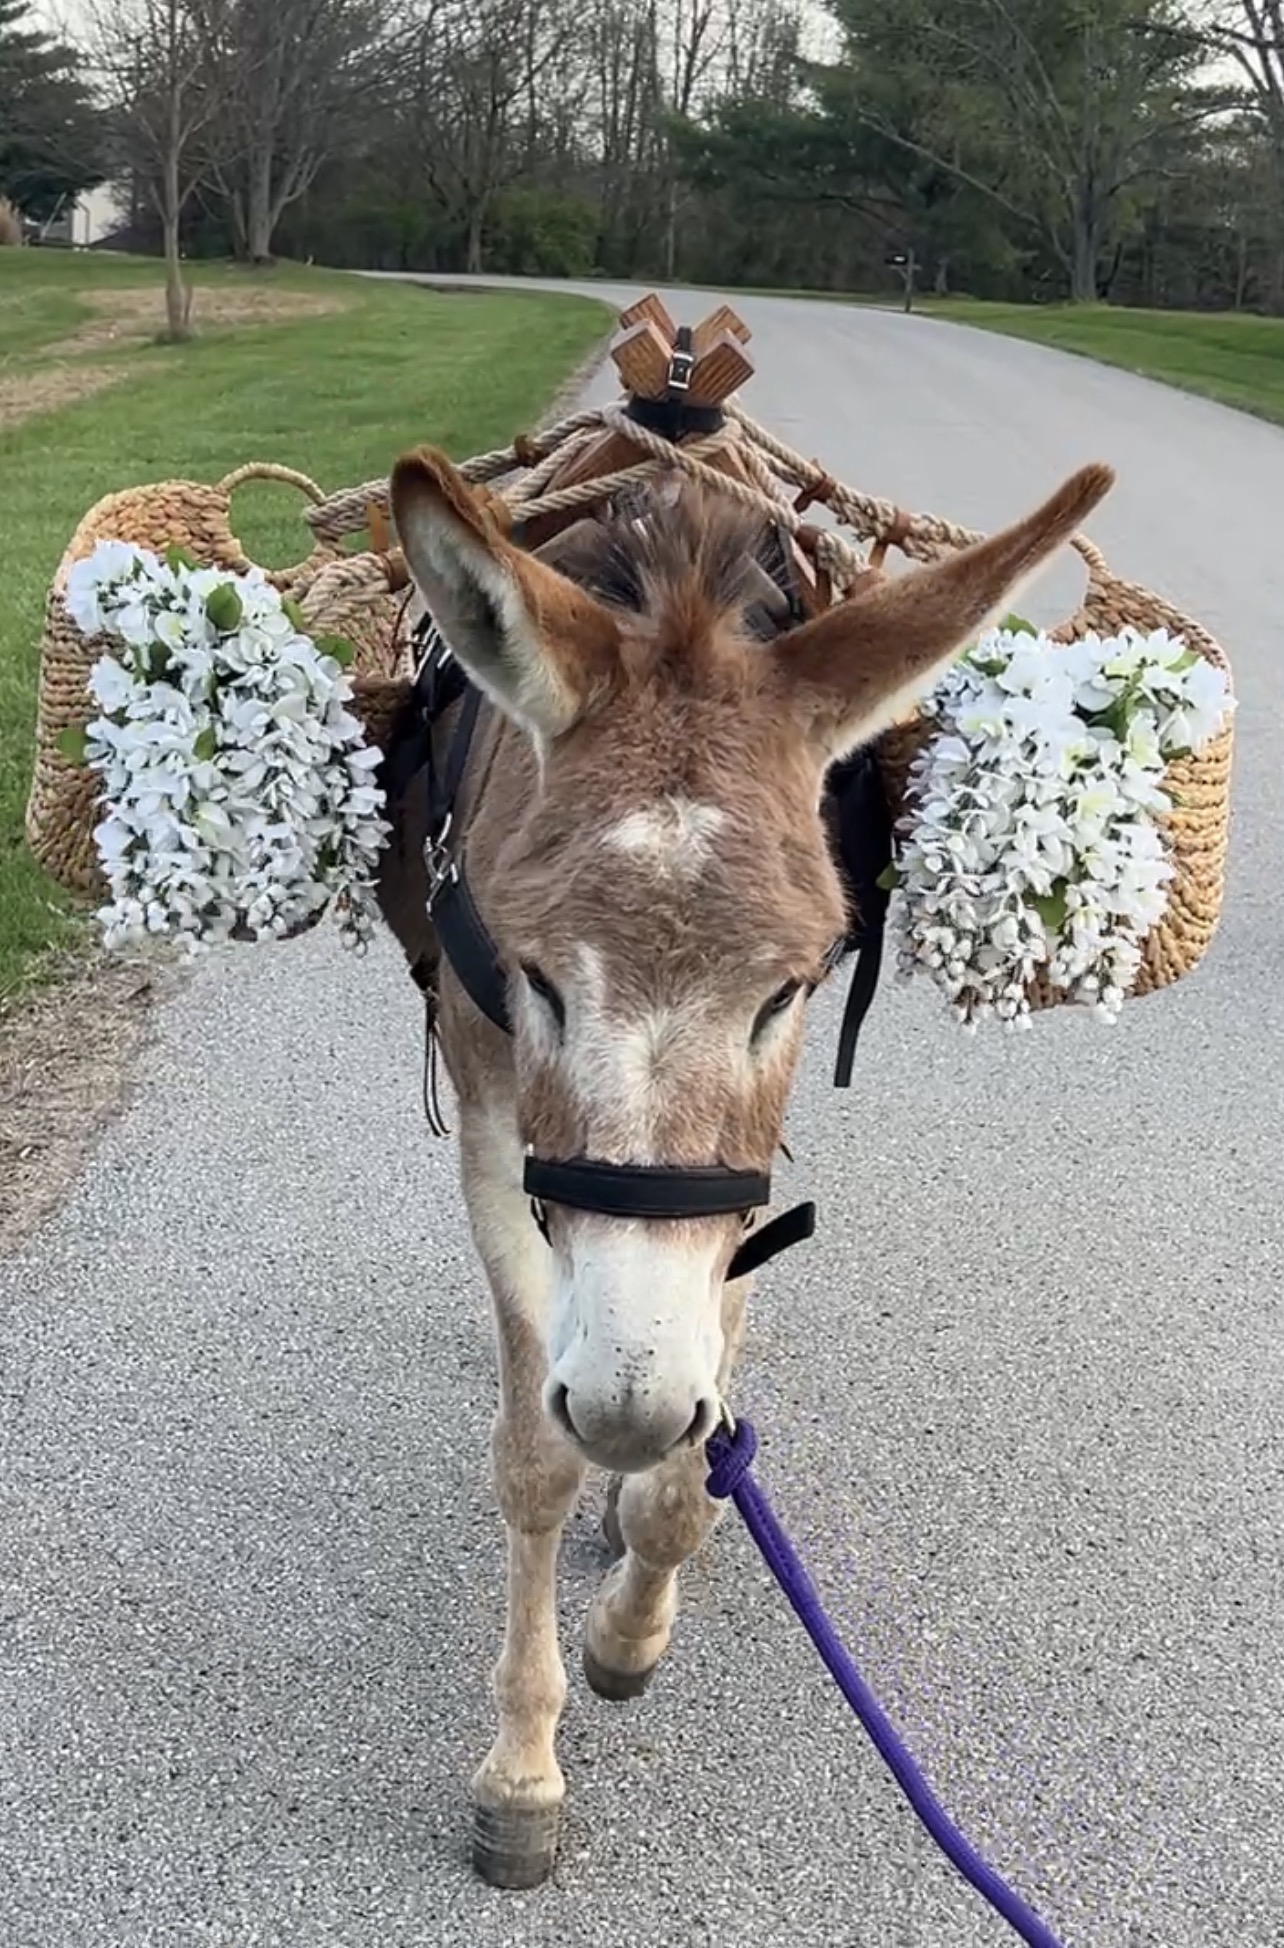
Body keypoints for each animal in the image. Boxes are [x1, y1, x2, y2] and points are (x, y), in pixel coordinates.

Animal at [374, 441, 1114, 1889]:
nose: (624, 1406)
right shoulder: (499, 1131)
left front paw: (631, 1624)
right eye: (539, 977)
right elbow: (535, 1463)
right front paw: (524, 1770)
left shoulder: (746, 1176)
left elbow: (689, 1458)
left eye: (785, 990)